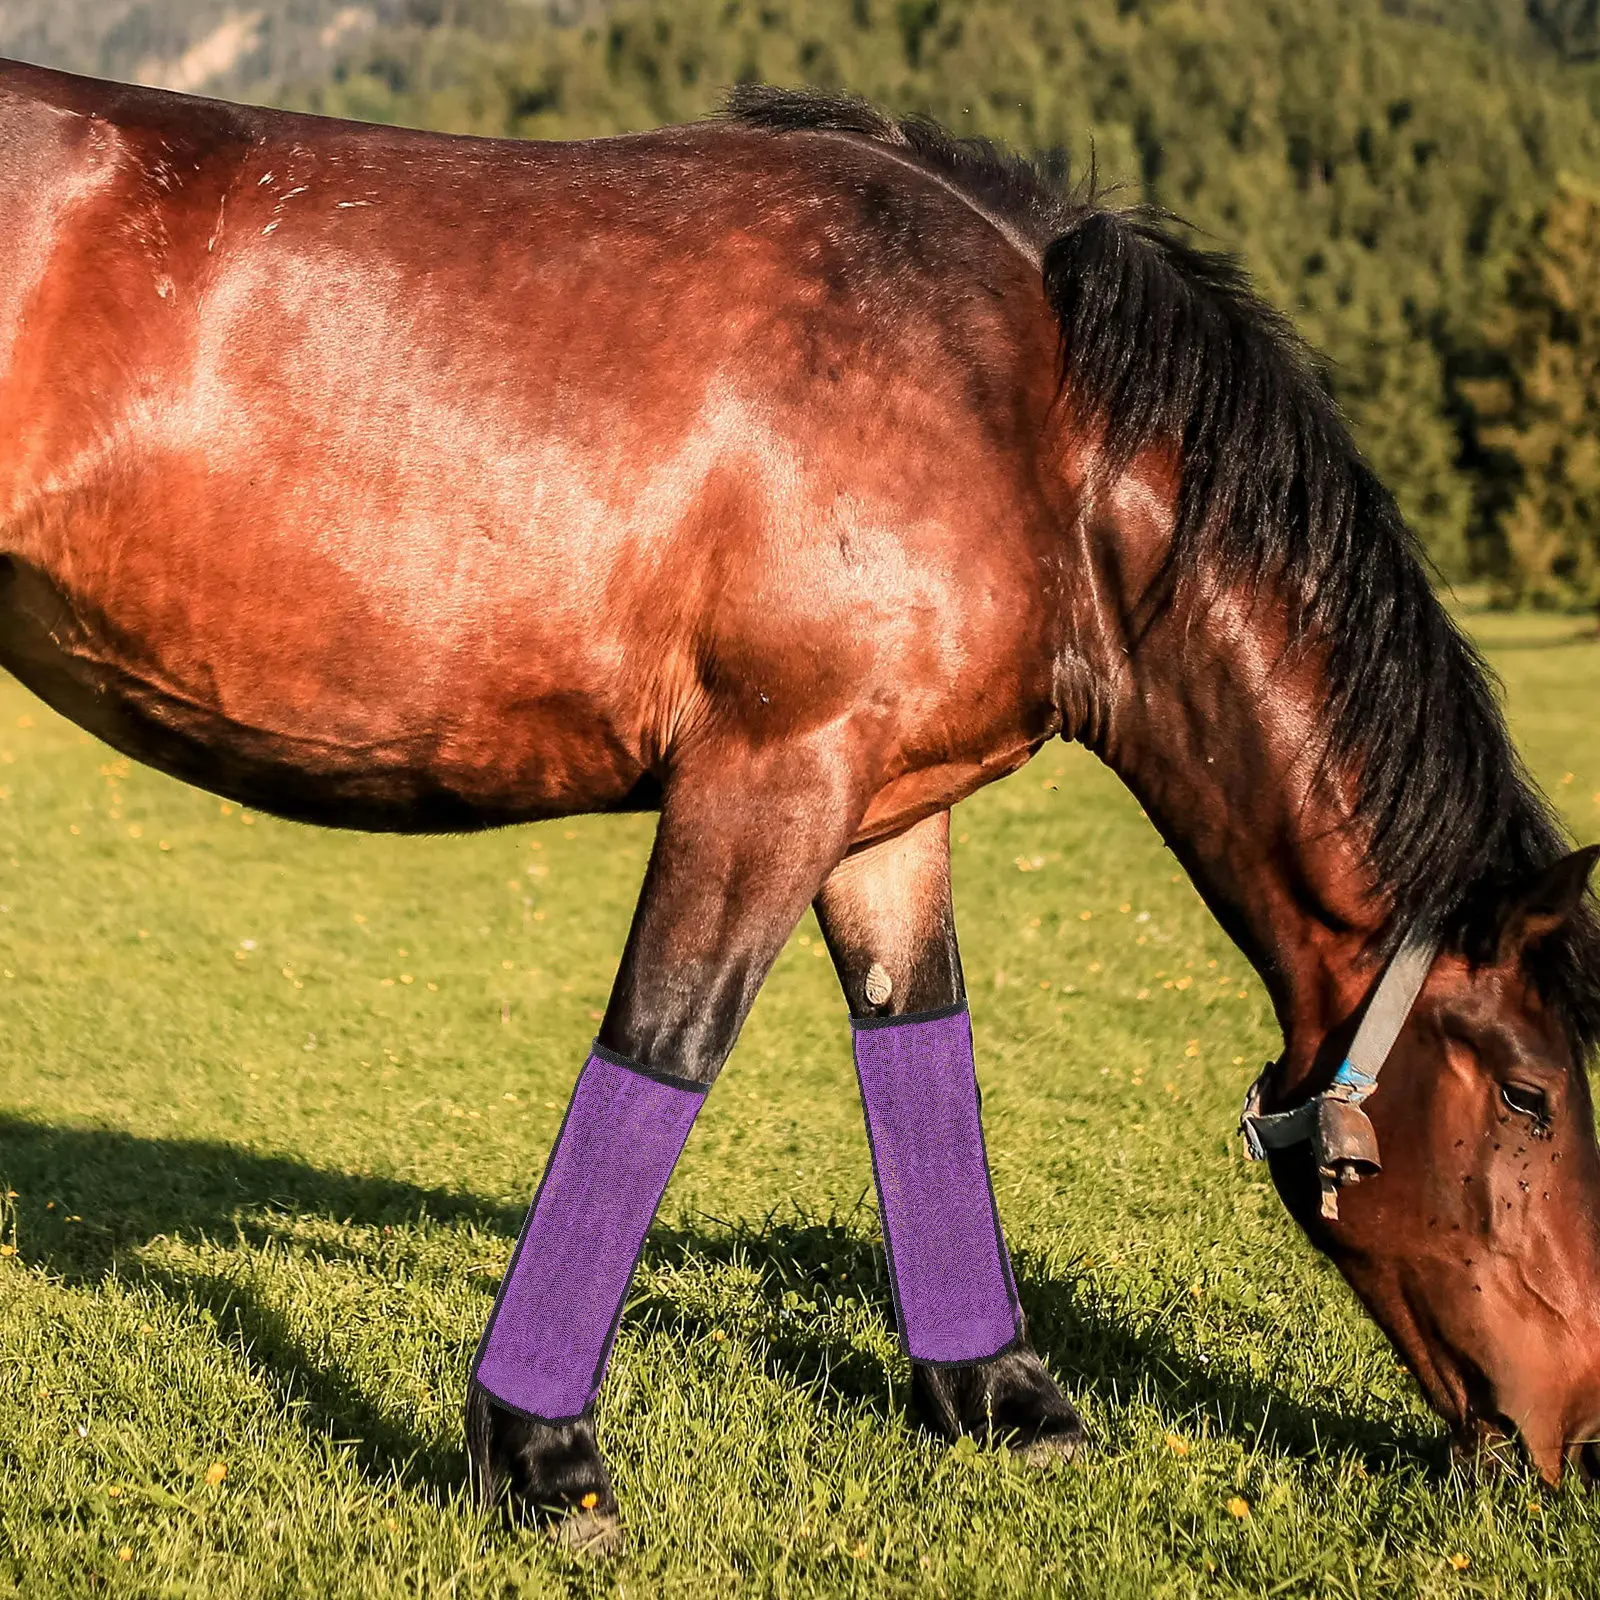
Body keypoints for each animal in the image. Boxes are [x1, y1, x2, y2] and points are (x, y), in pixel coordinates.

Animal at [4, 59, 1600, 1546]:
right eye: (1530, 1094)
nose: (1574, 1433)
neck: (1029, 419)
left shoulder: (887, 805)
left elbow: (919, 1040)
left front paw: (999, 1394)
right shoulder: (774, 768)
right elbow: (665, 1047)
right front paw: (538, 1452)